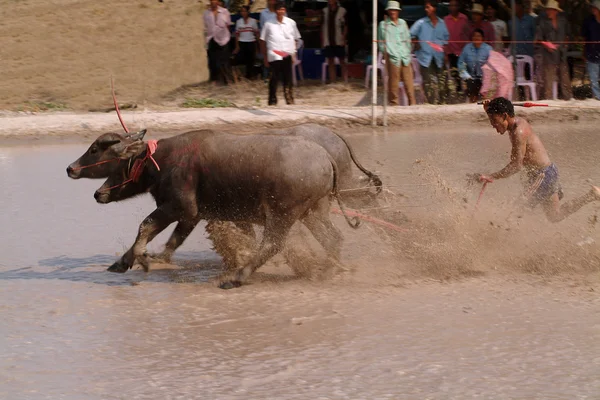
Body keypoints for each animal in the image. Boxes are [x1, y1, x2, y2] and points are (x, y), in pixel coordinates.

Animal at [91, 130, 358, 290]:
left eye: (117, 165)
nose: (98, 193)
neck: (163, 161)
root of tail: (325, 157)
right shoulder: (190, 215)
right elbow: (169, 238)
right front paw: (123, 262)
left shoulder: (180, 207)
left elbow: (145, 227)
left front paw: (143, 259)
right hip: (314, 211)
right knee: (332, 237)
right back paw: (330, 269)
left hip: (282, 214)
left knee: (273, 244)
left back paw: (236, 277)